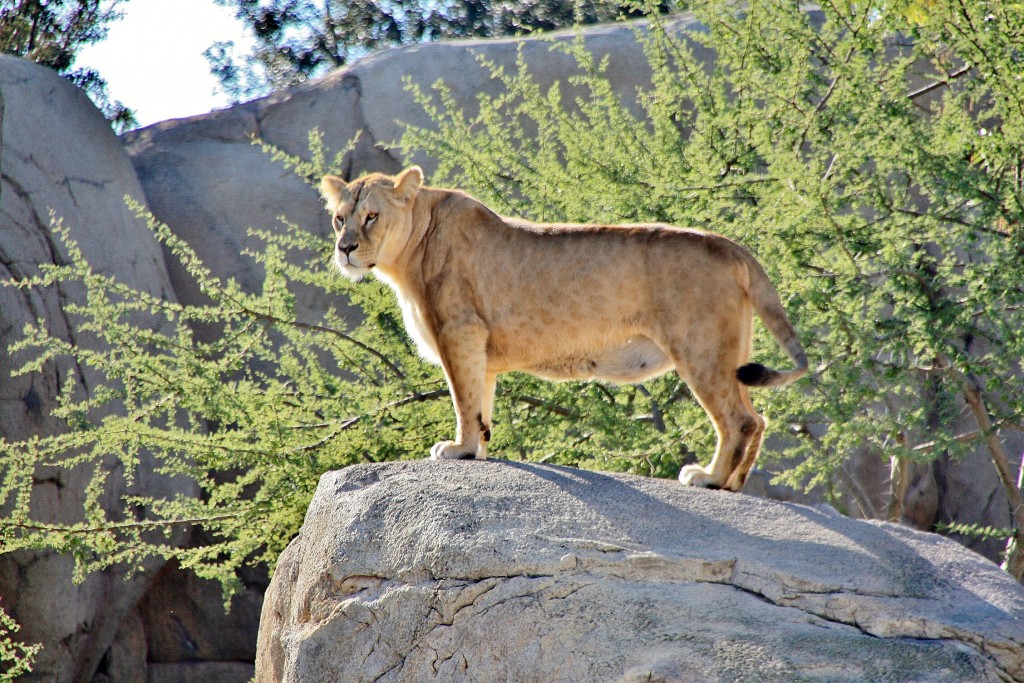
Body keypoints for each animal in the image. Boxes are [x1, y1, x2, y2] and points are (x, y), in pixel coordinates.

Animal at [321, 166, 806, 491]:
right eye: (340, 218)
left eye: (371, 217)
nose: (345, 249)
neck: (408, 251)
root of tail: (730, 245)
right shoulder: (478, 347)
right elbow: (481, 403)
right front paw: (477, 452)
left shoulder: (458, 330)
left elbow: (463, 400)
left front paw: (458, 451)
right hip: (729, 353)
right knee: (758, 418)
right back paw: (733, 484)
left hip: (700, 348)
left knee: (739, 420)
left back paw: (709, 479)